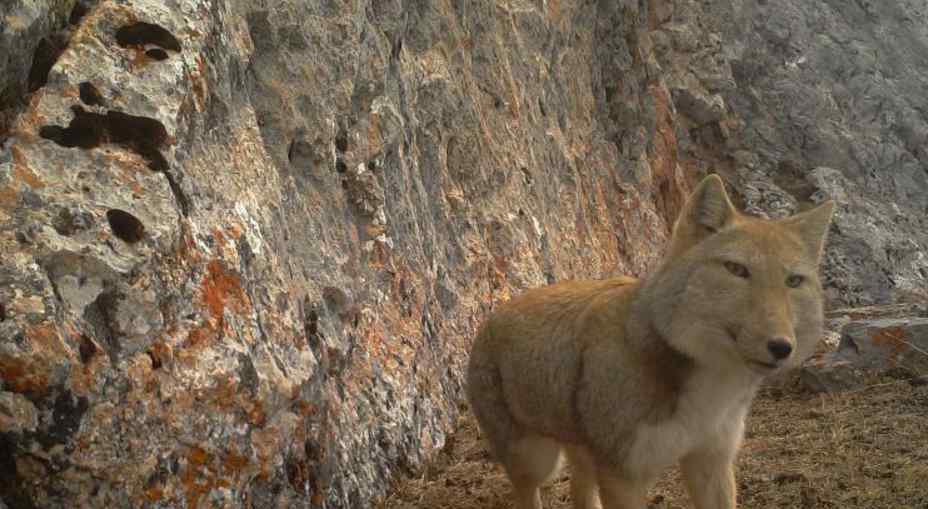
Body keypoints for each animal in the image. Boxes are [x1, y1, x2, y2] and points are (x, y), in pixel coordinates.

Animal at [468, 175, 836, 508]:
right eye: (737, 270)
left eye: (794, 281)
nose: (781, 347)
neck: (710, 389)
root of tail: (495, 313)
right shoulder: (623, 477)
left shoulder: (712, 461)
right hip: (539, 463)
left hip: (580, 457)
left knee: (579, 491)